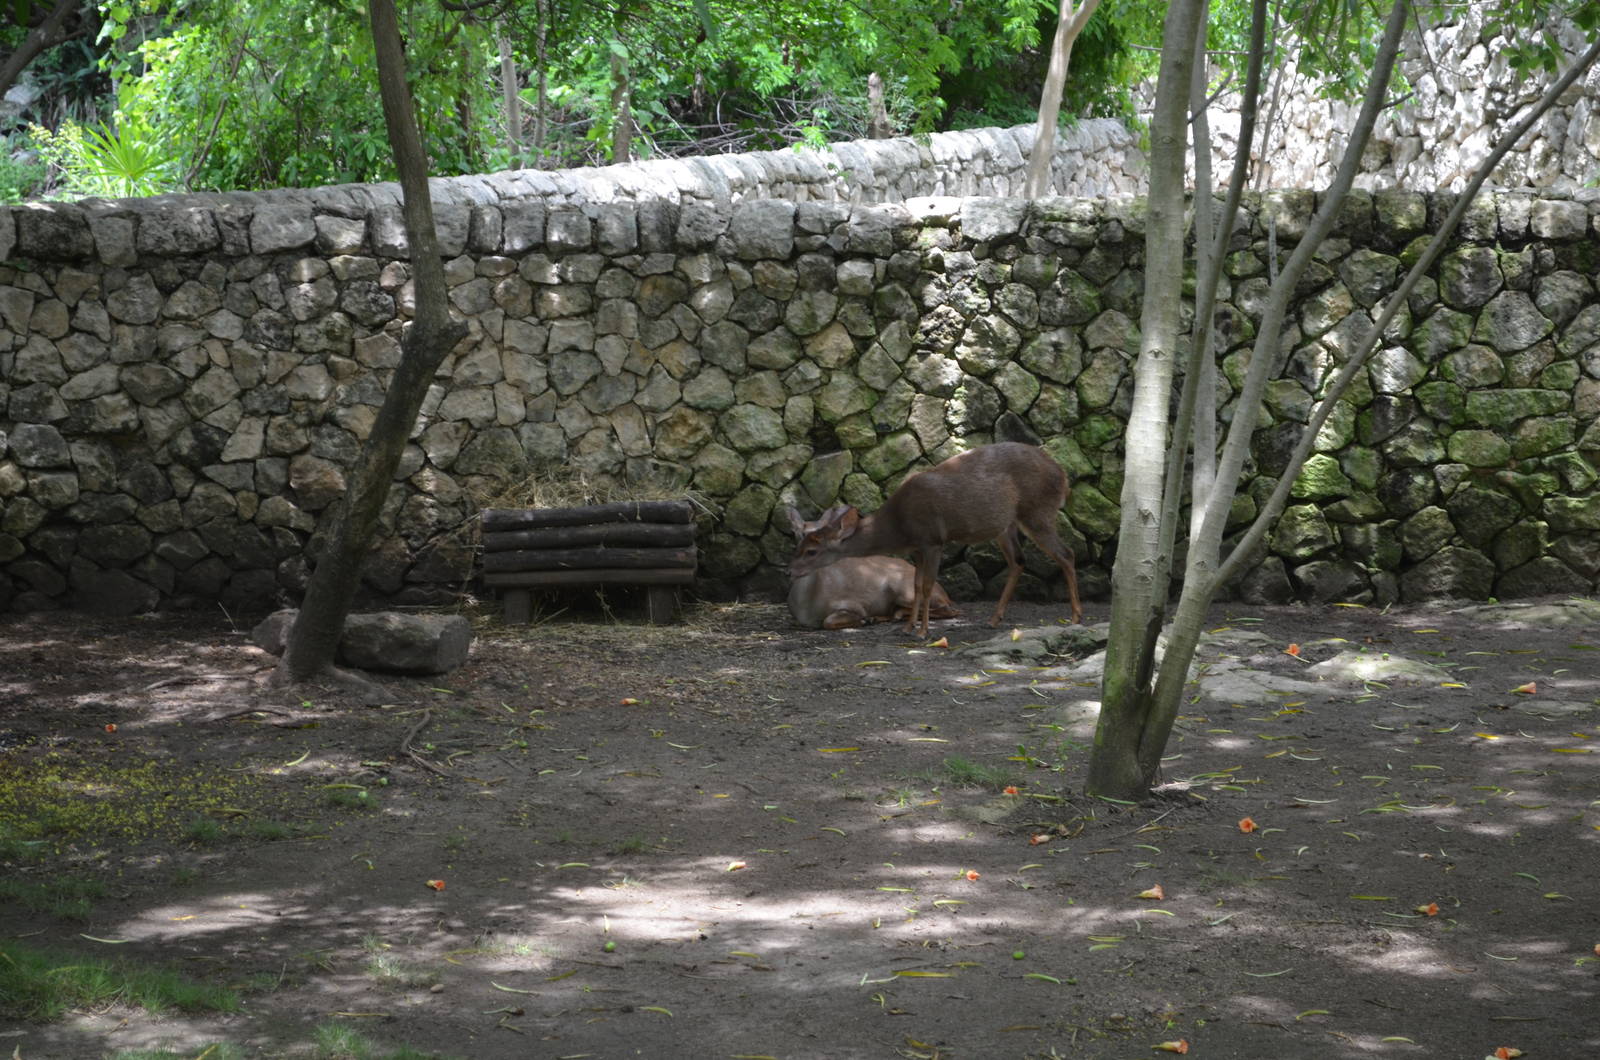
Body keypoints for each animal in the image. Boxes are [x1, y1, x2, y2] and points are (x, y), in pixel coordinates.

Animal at [784, 507, 960, 630]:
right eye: (799, 534)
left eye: (813, 550)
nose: (790, 572)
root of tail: (945, 594)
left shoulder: (853, 603)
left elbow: (828, 621)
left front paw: (863, 620)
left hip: (903, 589)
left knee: (950, 610)